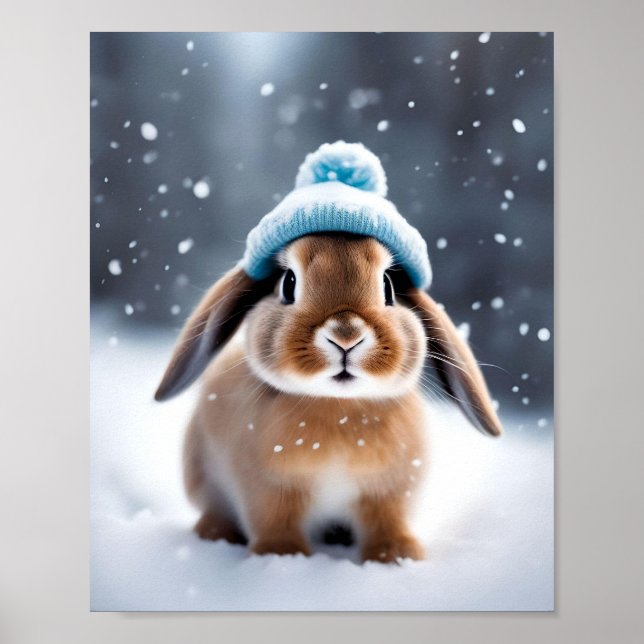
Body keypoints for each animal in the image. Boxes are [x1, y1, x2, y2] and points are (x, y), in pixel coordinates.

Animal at [155, 232, 502, 563]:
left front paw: (398, 556)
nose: (346, 336)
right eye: (288, 283)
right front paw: (282, 554)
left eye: (388, 286)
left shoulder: (388, 491)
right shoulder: (268, 489)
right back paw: (215, 534)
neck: (338, 406)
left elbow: (387, 522)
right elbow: (274, 521)